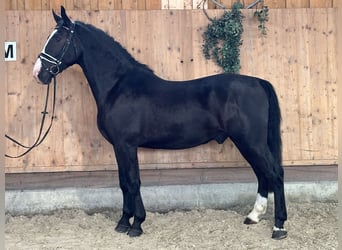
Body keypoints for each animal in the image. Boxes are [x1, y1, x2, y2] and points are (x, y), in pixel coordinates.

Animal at [34, 6, 286, 239]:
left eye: (58, 38)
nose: (38, 73)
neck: (118, 86)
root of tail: (258, 82)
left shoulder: (126, 145)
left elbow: (133, 182)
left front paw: (136, 225)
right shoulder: (120, 147)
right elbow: (123, 182)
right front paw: (123, 223)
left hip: (250, 141)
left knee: (275, 173)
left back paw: (279, 227)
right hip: (248, 142)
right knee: (262, 174)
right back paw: (253, 216)